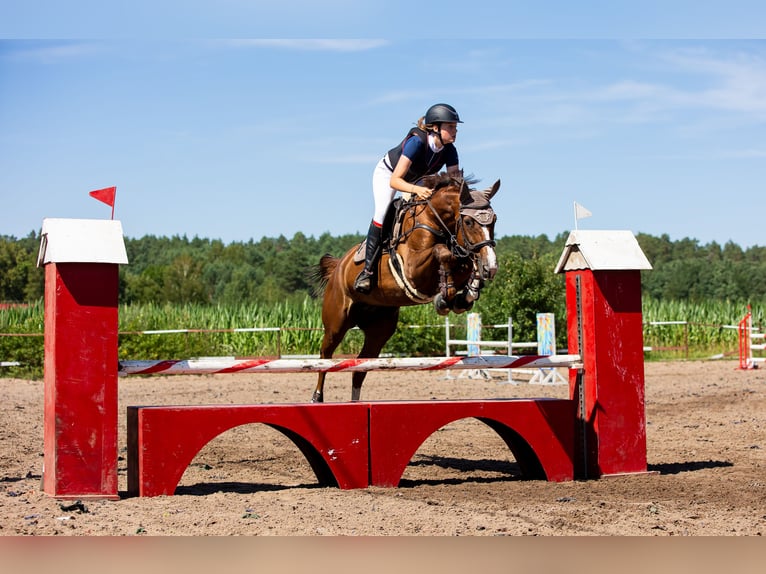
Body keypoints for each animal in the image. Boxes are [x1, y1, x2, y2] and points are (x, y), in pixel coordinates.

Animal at [308, 173, 500, 402]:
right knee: (325, 355)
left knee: (360, 367)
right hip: (336, 322)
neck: (434, 219)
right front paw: (445, 297)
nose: (492, 267)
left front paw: (465, 294)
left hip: (379, 331)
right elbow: (442, 252)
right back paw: (317, 397)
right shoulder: (413, 270)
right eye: (469, 221)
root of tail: (338, 267)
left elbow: (464, 263)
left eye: (495, 220)